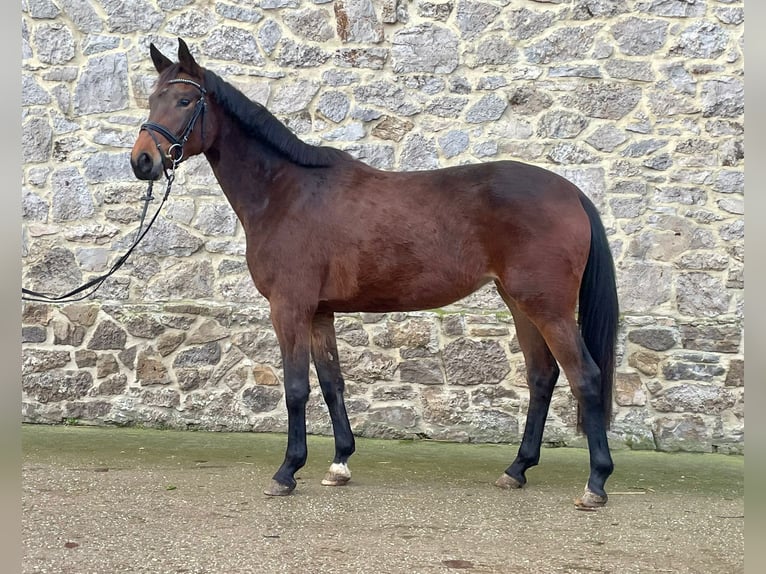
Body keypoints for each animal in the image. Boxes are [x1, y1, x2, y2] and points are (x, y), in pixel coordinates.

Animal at [132, 38, 620, 510]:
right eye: (152, 98)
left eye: (183, 100)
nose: (142, 162)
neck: (286, 192)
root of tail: (572, 192)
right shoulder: (319, 313)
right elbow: (332, 383)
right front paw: (339, 464)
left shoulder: (289, 308)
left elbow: (296, 388)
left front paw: (287, 472)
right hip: (520, 303)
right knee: (542, 377)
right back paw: (517, 469)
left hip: (547, 307)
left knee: (585, 377)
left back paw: (596, 483)